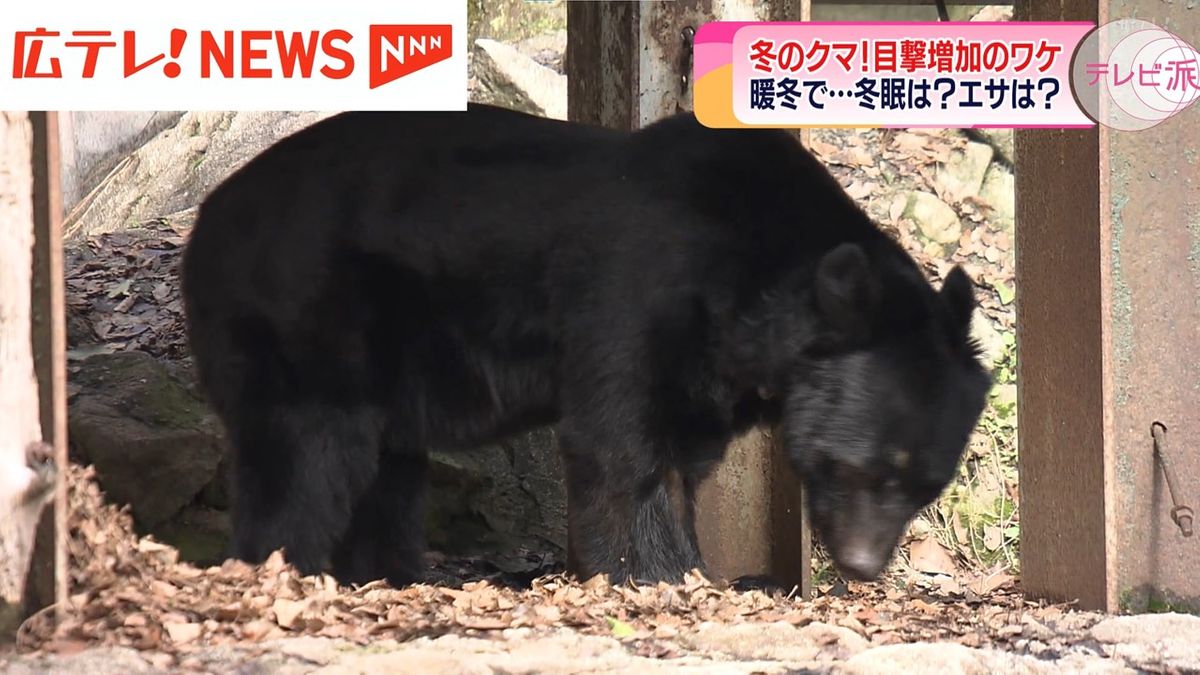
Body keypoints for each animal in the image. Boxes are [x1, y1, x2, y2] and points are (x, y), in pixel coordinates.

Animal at [182, 102, 993, 586]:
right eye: (864, 466)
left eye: (926, 482)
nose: (862, 566)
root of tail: (207, 218)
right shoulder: (637, 289)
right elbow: (620, 441)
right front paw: (657, 573)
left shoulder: (711, 366)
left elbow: (682, 452)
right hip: (309, 314)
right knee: (307, 452)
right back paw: (283, 563)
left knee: (386, 469)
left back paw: (386, 571)